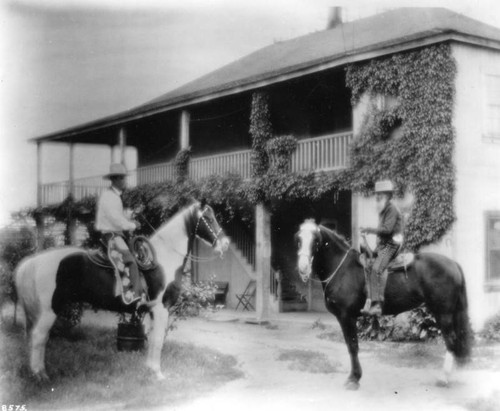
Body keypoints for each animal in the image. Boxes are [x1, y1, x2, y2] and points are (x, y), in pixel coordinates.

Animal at [15, 204, 230, 384]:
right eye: (208, 219)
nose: (225, 244)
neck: (162, 260)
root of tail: (33, 262)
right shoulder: (161, 309)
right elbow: (158, 340)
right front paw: (158, 374)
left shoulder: (152, 311)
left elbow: (152, 339)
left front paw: (149, 369)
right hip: (48, 311)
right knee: (39, 338)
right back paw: (40, 375)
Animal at [296, 220, 472, 392]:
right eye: (298, 239)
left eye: (316, 240)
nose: (303, 267)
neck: (343, 269)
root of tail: (453, 264)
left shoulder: (347, 317)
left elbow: (352, 346)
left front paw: (353, 379)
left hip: (443, 313)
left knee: (451, 340)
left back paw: (444, 378)